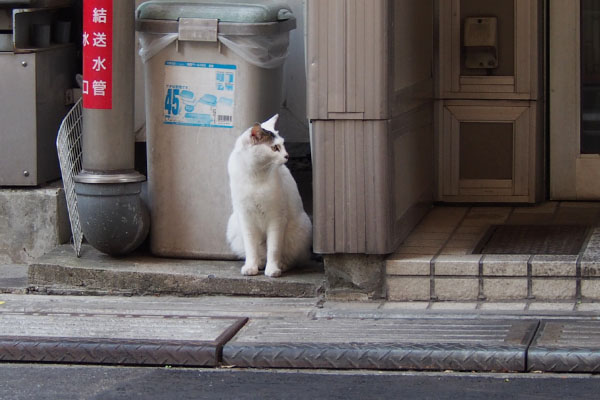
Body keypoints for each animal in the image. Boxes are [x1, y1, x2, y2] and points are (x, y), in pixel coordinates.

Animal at [224, 114, 310, 276]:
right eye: (275, 147)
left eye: (283, 145)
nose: (287, 156)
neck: (255, 175)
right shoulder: (246, 218)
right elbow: (251, 248)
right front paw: (251, 267)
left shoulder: (276, 218)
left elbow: (274, 249)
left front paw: (273, 270)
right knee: (259, 253)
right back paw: (259, 263)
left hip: (300, 231)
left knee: (291, 259)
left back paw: (281, 265)